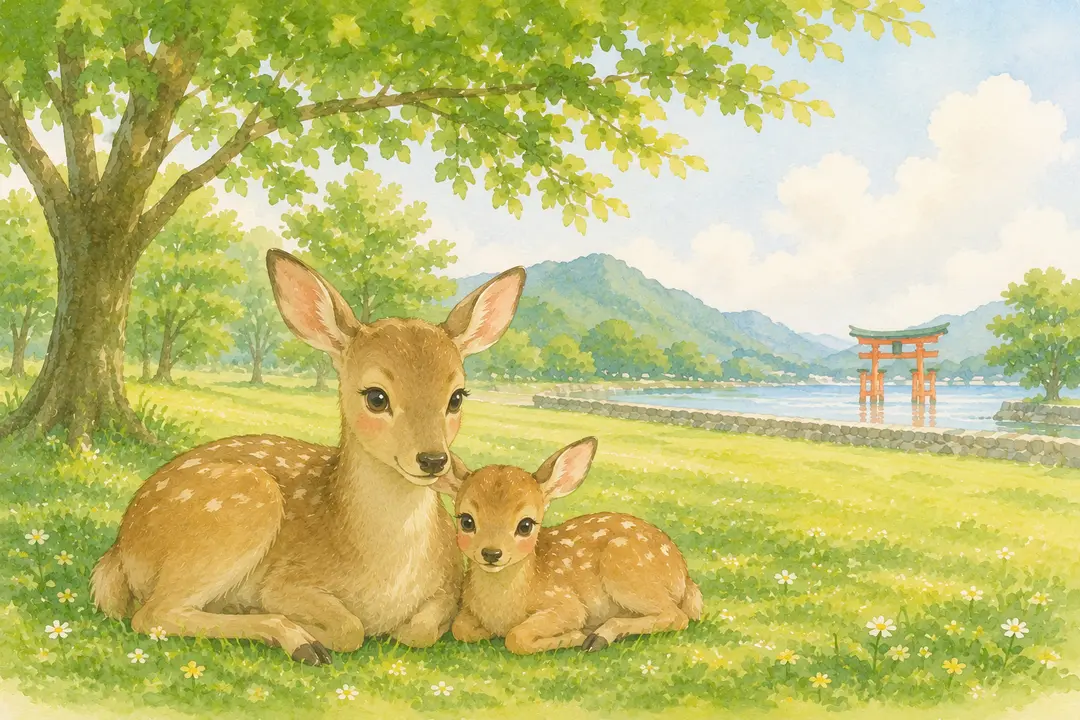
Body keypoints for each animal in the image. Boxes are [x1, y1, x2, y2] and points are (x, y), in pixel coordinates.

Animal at [90, 249, 526, 665]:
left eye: (457, 397)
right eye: (376, 396)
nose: (434, 460)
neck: (387, 577)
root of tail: (121, 546)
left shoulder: (450, 585)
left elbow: (417, 632)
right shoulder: (286, 582)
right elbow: (350, 629)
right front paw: (310, 630)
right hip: (238, 511)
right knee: (152, 614)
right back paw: (296, 640)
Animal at [436, 437, 702, 654]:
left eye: (525, 525)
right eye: (466, 520)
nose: (491, 553)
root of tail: (684, 574)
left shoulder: (566, 603)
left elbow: (516, 637)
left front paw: (576, 636)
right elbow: (460, 629)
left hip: (624, 568)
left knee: (676, 615)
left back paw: (599, 637)